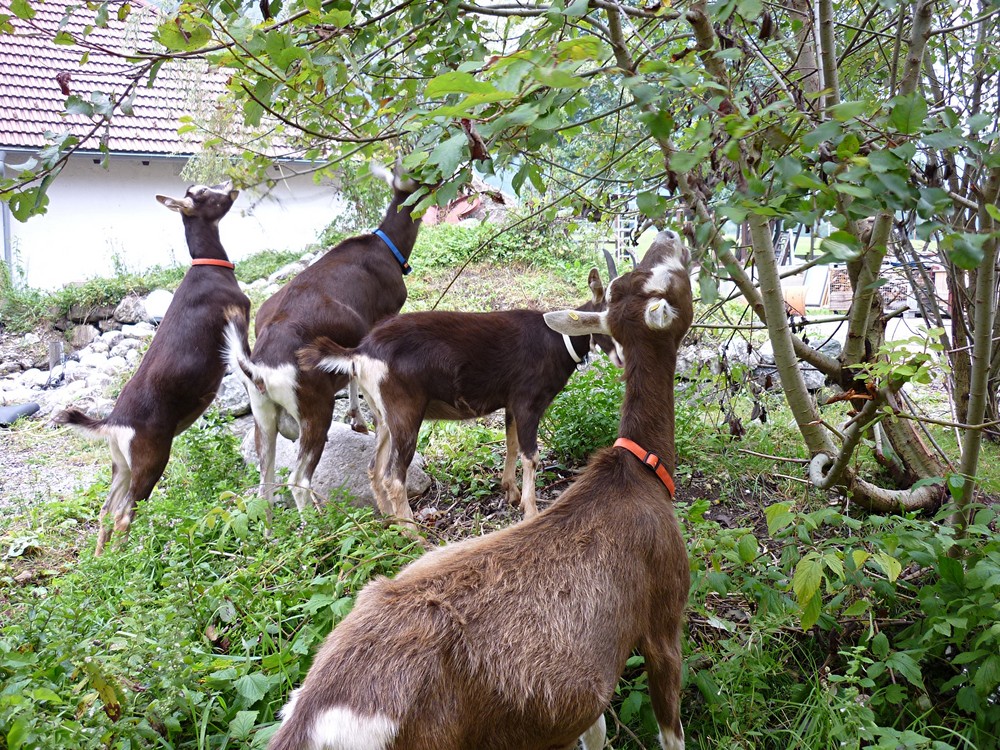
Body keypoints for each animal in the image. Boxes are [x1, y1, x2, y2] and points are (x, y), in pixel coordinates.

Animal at [53, 183, 254, 560]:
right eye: (206, 192)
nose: (232, 186)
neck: (211, 269)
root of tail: (113, 423)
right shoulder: (237, 321)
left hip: (122, 464)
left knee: (105, 509)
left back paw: (101, 561)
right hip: (151, 459)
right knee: (124, 514)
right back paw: (127, 560)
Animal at [225, 161, 424, 516]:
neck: (386, 248)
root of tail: (260, 368)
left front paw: (358, 420)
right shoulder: (385, 314)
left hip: (263, 414)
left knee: (266, 482)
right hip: (314, 409)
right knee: (298, 480)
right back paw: (316, 523)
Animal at [266, 229, 696, 750]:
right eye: (667, 281)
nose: (671, 236)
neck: (639, 470)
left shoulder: (512, 403)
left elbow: (510, 445)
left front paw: (508, 492)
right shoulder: (528, 397)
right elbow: (530, 452)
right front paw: (528, 507)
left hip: (385, 414)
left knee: (373, 468)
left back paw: (391, 526)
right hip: (406, 410)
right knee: (392, 473)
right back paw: (412, 533)